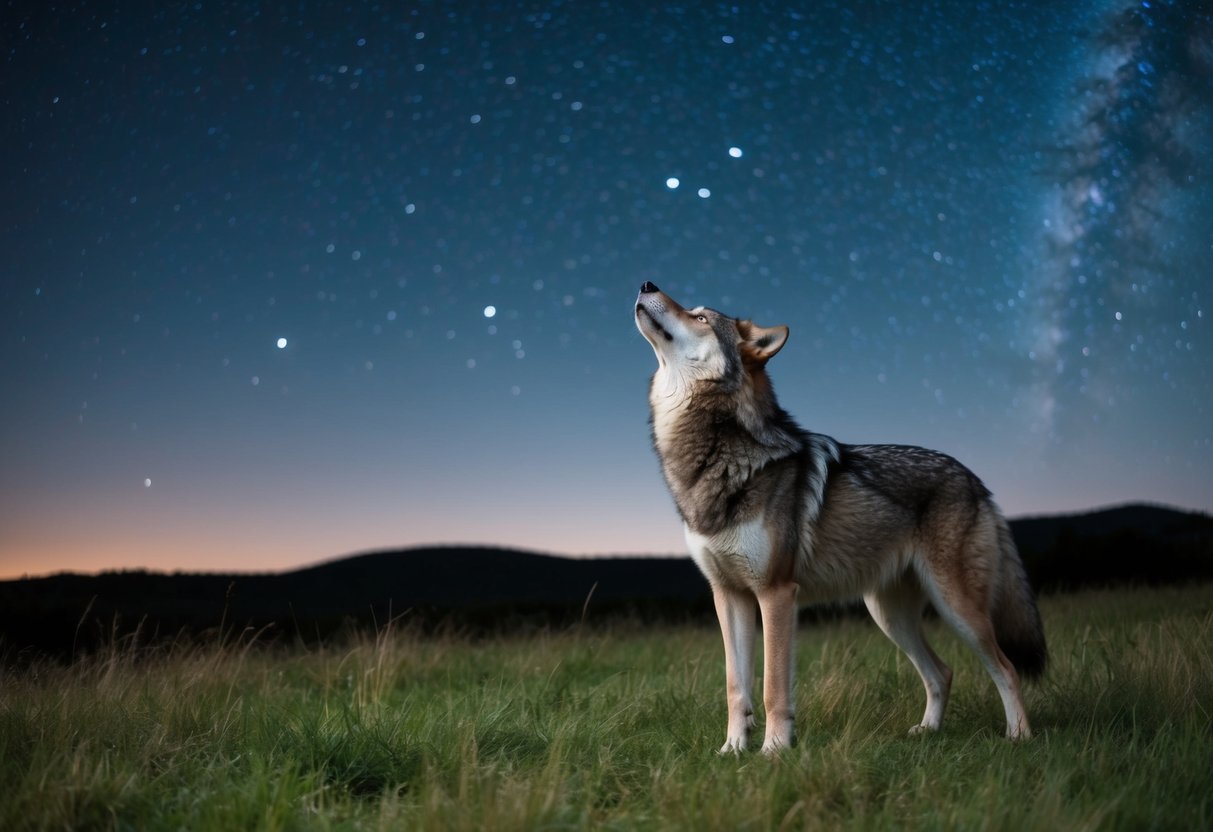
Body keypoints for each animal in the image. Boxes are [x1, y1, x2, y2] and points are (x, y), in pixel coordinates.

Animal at [634, 282, 1046, 754]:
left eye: (700, 317)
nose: (646, 284)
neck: (715, 457)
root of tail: (976, 480)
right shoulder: (729, 595)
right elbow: (736, 686)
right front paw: (732, 750)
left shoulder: (776, 593)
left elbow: (774, 686)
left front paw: (773, 752)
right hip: (888, 615)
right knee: (942, 672)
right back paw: (928, 731)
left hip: (956, 609)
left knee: (1006, 668)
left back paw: (1020, 736)